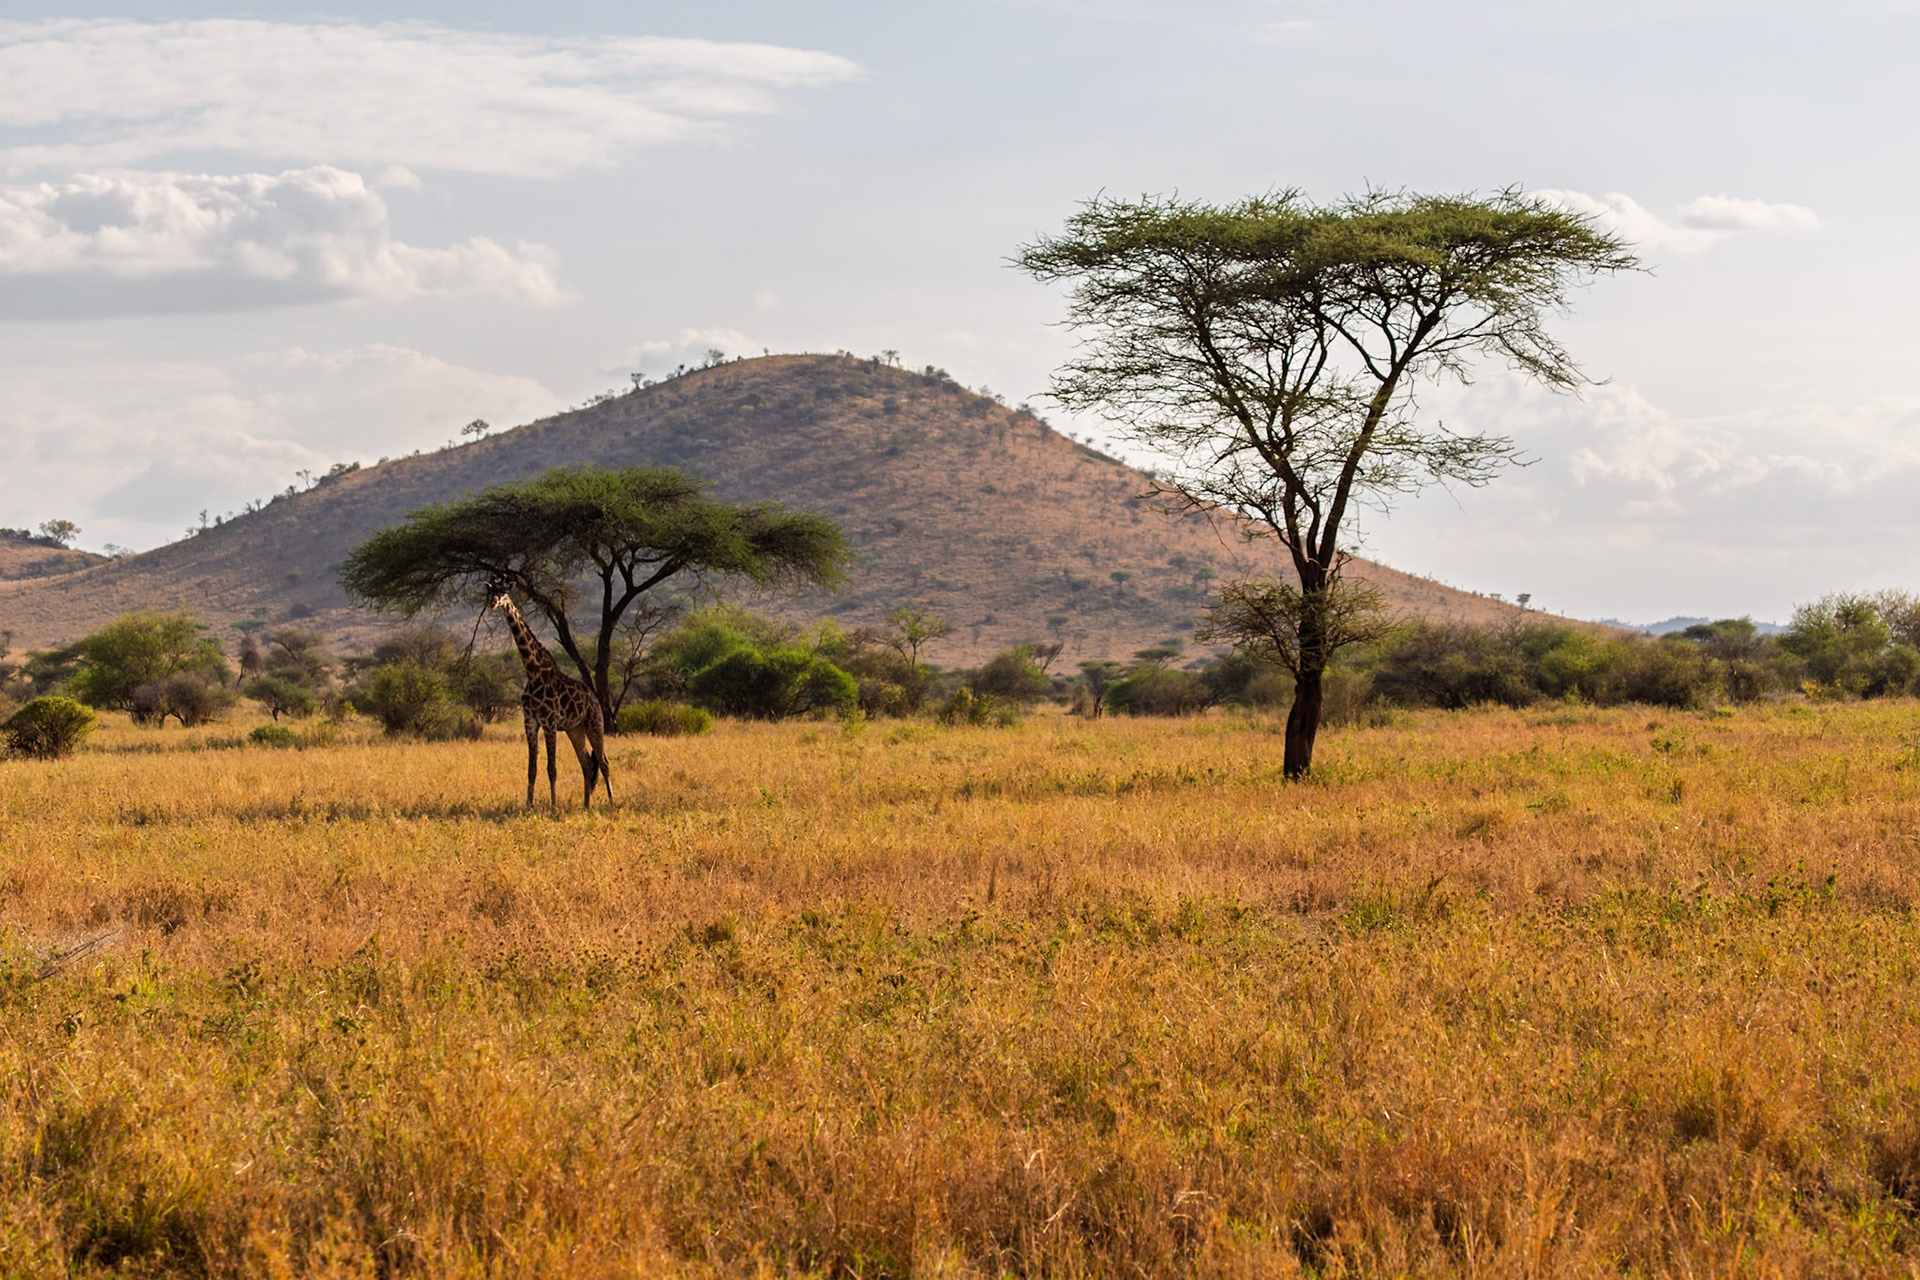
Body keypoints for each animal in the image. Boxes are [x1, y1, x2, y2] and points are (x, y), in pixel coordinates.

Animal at [487, 577, 612, 810]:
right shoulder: (530, 722)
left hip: (595, 724)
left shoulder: (549, 722)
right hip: (575, 729)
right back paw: (586, 805)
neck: (533, 671)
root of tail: (595, 699)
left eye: (504, 592)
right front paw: (528, 806)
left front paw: (553, 807)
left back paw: (611, 802)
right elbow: (532, 770)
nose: (493, 603)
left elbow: (551, 769)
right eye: (490, 591)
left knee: (604, 762)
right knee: (587, 763)